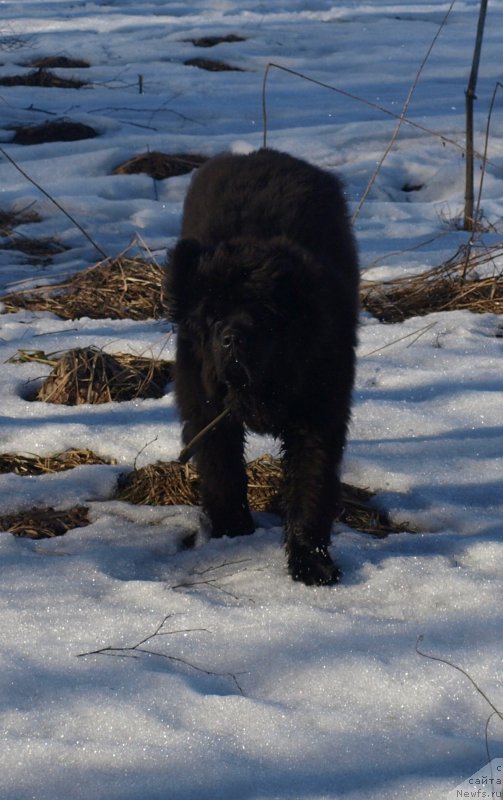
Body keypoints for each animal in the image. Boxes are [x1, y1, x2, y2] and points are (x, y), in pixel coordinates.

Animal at [167, 150, 360, 584]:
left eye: (264, 316)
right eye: (213, 317)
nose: (233, 338)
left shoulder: (318, 414)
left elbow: (310, 485)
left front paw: (311, 561)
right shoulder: (206, 410)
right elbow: (223, 473)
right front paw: (231, 534)